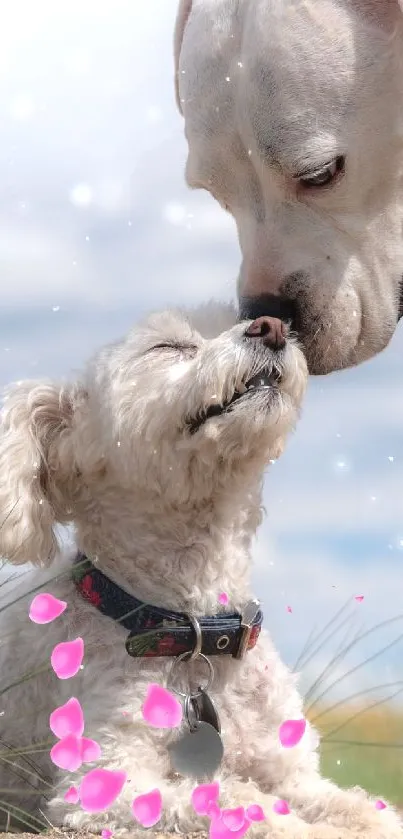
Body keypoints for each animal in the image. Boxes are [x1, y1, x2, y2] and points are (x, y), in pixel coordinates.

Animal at [0, 304, 400, 839]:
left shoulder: (294, 774)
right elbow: (238, 799)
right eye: (168, 347)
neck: (196, 632)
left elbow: (362, 807)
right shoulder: (104, 784)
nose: (272, 326)